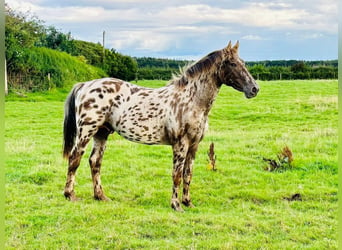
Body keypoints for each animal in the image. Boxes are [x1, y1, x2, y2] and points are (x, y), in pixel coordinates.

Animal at [62, 40, 260, 211]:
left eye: (243, 62)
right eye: (232, 64)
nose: (254, 89)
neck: (191, 100)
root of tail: (85, 85)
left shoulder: (194, 145)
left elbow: (188, 174)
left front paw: (188, 202)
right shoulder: (181, 144)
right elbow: (177, 174)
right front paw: (176, 205)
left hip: (101, 133)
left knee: (95, 162)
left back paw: (100, 196)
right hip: (86, 132)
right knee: (75, 159)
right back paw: (70, 195)